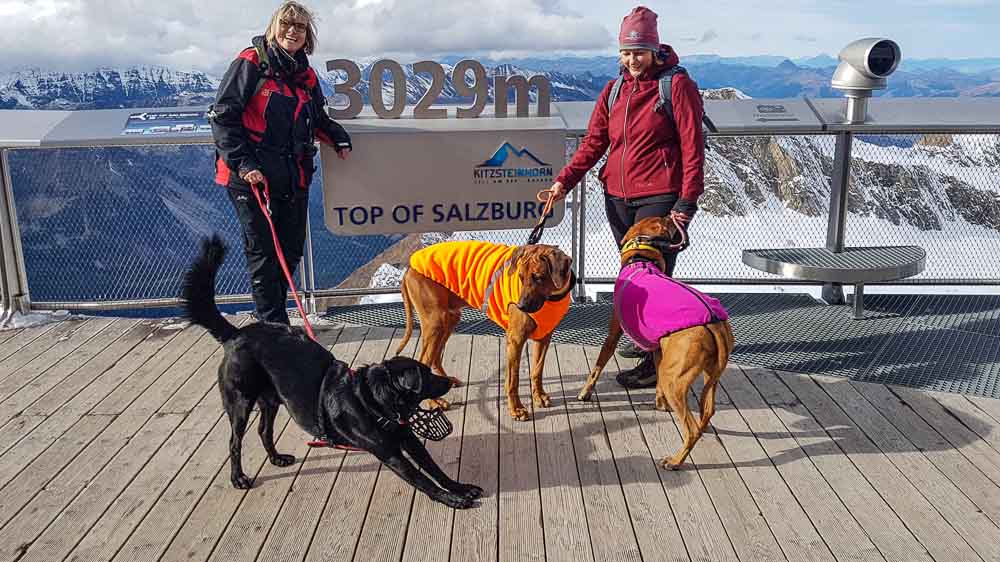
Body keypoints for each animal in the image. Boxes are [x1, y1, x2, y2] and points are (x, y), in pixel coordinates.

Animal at [181, 234, 484, 506]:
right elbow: (423, 480)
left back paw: (276, 458)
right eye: (426, 378)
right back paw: (239, 477)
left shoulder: (408, 439)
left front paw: (460, 487)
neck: (370, 401)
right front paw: (452, 499)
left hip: (271, 400)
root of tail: (236, 334)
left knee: (263, 430)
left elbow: (435, 469)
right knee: (235, 441)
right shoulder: (391, 454)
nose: (447, 382)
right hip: (240, 402)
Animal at [396, 241, 576, 420]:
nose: (520, 306)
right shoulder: (515, 340)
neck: (553, 297)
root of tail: (409, 267)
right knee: (425, 359)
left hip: (449, 319)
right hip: (435, 322)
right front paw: (516, 409)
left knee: (434, 357)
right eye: (520, 277)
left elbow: (537, 371)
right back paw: (435, 402)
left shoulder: (544, 337)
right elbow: (513, 380)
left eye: (538, 277)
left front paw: (538, 396)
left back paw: (447, 381)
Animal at [580, 217, 736, 466]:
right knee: (707, 410)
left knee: (691, 429)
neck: (640, 260)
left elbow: (597, 367)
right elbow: (658, 384)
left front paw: (584, 393)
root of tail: (712, 319)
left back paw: (675, 461)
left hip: (676, 379)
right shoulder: (658, 348)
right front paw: (660, 404)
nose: (675, 217)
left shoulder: (613, 334)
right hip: (709, 372)